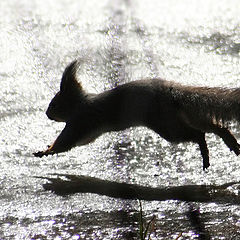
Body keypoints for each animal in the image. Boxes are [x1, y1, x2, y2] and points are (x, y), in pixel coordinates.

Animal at [33, 60, 240, 170]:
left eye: (54, 104)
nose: (47, 114)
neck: (80, 104)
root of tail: (170, 92)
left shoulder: (80, 122)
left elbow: (65, 143)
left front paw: (45, 151)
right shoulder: (86, 131)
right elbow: (78, 142)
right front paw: (46, 148)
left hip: (167, 126)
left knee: (198, 133)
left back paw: (206, 151)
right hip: (180, 116)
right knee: (213, 126)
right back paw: (229, 143)